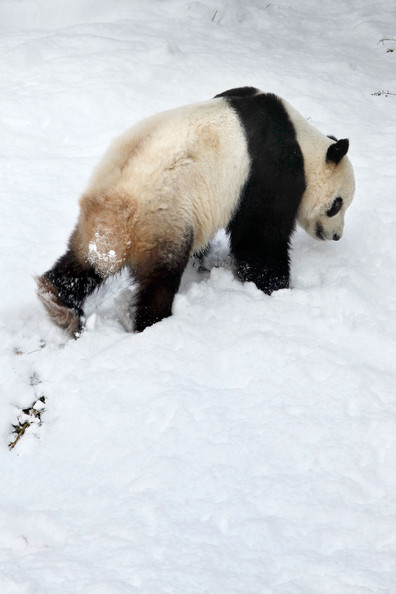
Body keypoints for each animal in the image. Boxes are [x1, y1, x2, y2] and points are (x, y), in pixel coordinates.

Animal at [35, 88, 354, 338]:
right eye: (337, 204)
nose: (337, 236)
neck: (304, 142)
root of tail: (116, 206)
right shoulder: (269, 169)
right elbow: (261, 238)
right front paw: (276, 288)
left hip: (97, 224)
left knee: (83, 263)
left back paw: (58, 302)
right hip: (163, 217)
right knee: (160, 278)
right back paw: (152, 323)